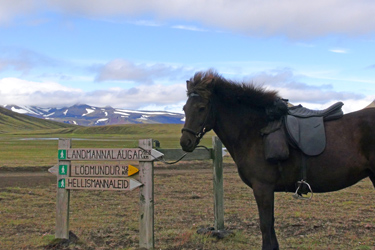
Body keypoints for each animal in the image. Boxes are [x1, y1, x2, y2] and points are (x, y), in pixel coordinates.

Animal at [180, 70, 375, 250]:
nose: (185, 142)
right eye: (184, 109)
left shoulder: (262, 187)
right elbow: (270, 224)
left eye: (202, 107)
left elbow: (265, 225)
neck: (253, 130)